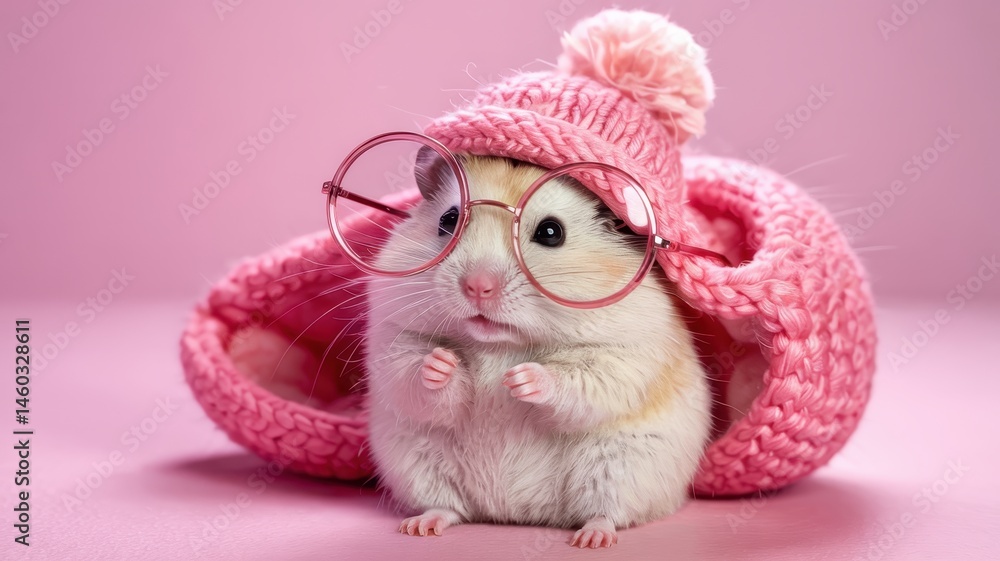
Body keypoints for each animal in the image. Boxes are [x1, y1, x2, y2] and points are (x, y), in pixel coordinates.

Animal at [363, 154, 712, 548]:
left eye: (551, 232)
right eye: (448, 220)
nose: (477, 286)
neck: (500, 342)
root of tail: (515, 512)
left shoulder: (624, 355)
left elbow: (578, 380)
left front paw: (518, 378)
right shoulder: (392, 336)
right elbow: (414, 373)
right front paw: (443, 362)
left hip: (622, 467)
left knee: (609, 513)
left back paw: (591, 539)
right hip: (418, 465)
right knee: (449, 507)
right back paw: (420, 526)